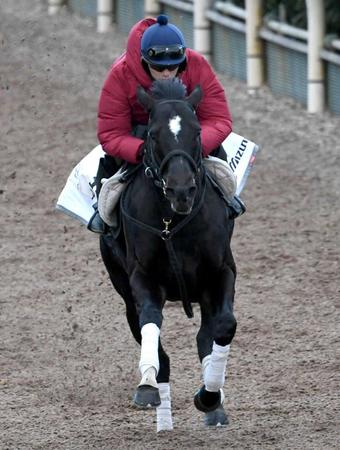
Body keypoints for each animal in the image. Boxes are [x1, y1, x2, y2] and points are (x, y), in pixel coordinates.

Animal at [99, 78, 236, 432]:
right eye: (152, 134)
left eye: (198, 132)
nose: (181, 190)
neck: (171, 223)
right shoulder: (142, 278)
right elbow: (150, 321)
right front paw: (148, 384)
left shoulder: (220, 272)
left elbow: (223, 327)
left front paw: (210, 396)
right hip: (121, 281)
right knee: (142, 325)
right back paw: (160, 412)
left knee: (205, 335)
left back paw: (213, 404)